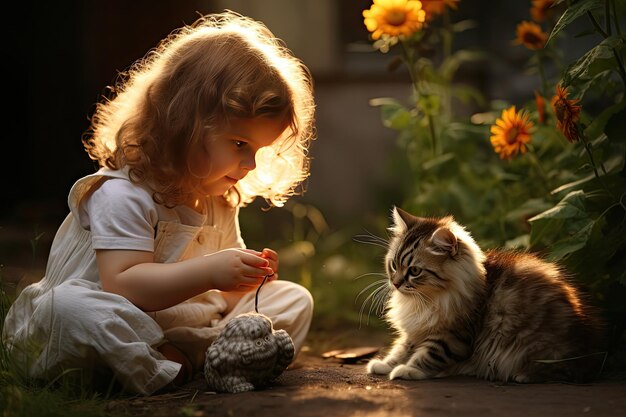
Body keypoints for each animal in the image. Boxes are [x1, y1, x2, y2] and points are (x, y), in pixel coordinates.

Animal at [366, 206, 604, 382]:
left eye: (414, 271)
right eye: (394, 265)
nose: (396, 283)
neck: (426, 299)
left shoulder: (454, 335)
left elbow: (427, 355)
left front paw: (407, 370)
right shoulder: (418, 328)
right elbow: (401, 348)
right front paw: (383, 365)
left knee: (562, 371)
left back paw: (521, 375)